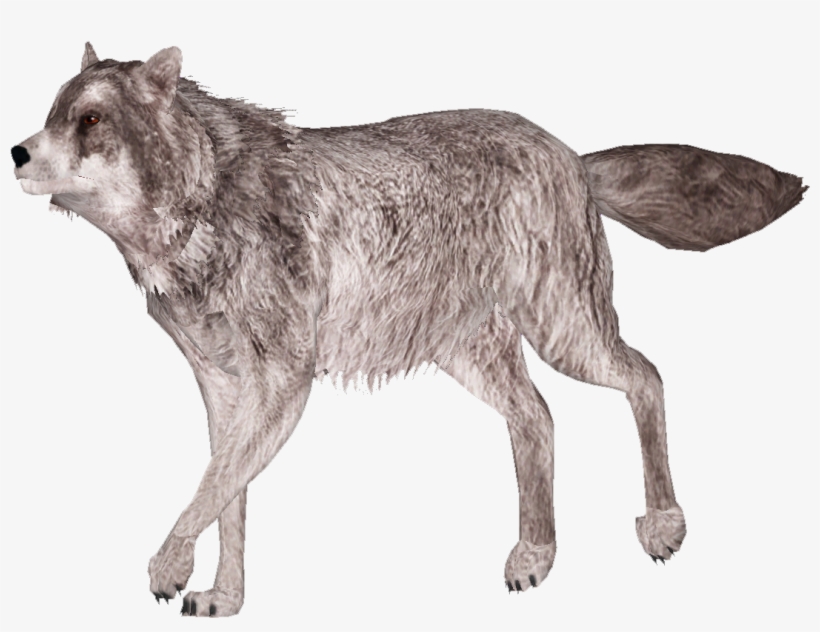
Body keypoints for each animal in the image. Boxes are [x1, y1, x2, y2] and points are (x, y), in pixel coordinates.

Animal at [10, 43, 808, 617]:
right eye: (51, 115)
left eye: (90, 122)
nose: (17, 152)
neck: (201, 207)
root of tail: (572, 156)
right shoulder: (224, 390)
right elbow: (226, 492)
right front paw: (226, 598)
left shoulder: (284, 385)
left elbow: (210, 488)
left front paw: (170, 568)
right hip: (474, 356)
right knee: (539, 419)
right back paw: (536, 555)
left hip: (565, 333)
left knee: (646, 375)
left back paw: (663, 523)